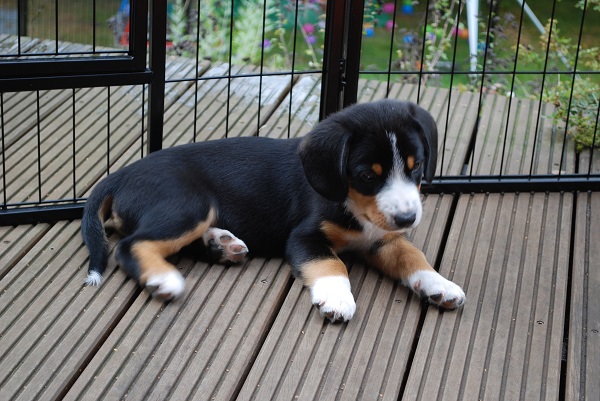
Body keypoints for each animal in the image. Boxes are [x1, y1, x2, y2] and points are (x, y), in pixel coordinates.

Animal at [81, 99, 465, 322]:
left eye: (417, 167)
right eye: (367, 175)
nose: (407, 218)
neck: (354, 205)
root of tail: (121, 173)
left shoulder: (382, 239)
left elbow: (412, 255)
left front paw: (439, 284)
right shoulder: (304, 237)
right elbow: (332, 263)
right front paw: (336, 297)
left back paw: (221, 245)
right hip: (189, 204)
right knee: (129, 245)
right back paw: (164, 278)